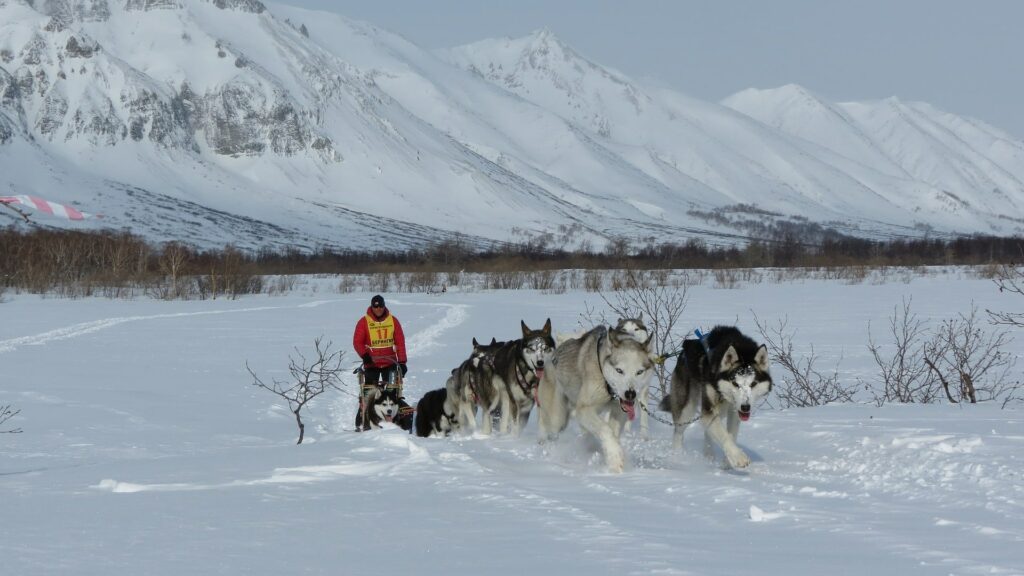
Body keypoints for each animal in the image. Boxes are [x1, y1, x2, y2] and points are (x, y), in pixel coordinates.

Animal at [540, 323, 651, 471]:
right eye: (619, 370)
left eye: (639, 372)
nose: (630, 393)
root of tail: (553, 357)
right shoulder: (584, 410)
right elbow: (605, 430)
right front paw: (615, 458)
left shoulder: (618, 411)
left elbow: (612, 433)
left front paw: (610, 455)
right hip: (557, 418)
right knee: (548, 426)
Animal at [659, 323, 770, 467]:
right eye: (735, 383)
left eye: (753, 384)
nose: (746, 407)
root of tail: (685, 348)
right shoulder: (709, 410)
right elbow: (724, 435)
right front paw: (738, 457)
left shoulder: (734, 411)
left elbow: (731, 434)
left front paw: (727, 461)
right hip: (687, 410)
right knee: (678, 432)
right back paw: (678, 457)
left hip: (720, 410)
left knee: (708, 431)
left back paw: (708, 455)